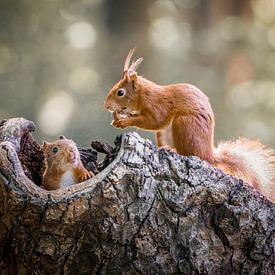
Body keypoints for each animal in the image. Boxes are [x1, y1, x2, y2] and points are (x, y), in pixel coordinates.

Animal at [105, 48, 275, 203]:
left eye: (120, 92)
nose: (106, 106)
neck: (144, 94)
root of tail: (209, 155)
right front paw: (120, 117)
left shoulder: (158, 106)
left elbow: (154, 121)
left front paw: (124, 121)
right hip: (165, 133)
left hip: (184, 124)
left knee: (190, 153)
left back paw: (174, 150)